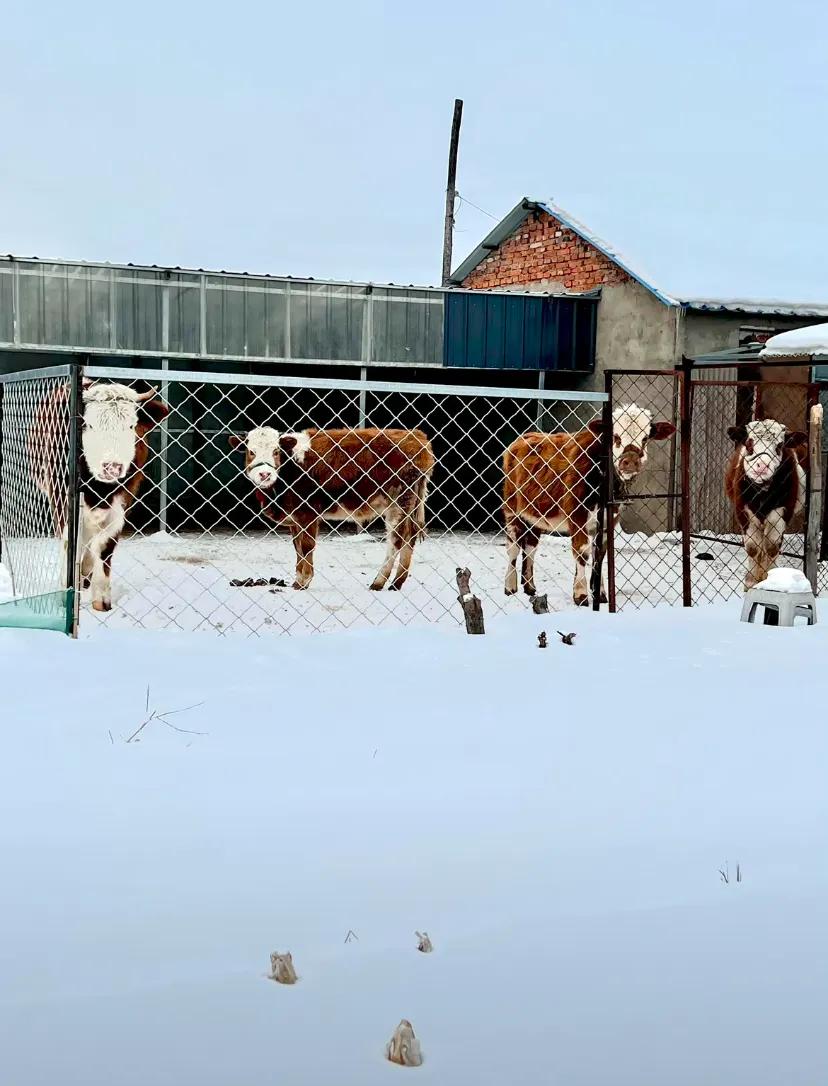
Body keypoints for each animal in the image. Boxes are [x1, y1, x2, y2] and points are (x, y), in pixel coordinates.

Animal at [31, 382, 168, 612]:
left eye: (131, 426)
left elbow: (103, 547)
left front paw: (101, 599)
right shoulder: (62, 500)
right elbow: (70, 543)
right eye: (89, 425)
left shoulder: (121, 504)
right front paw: (67, 591)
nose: (112, 467)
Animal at [226, 425, 432, 595]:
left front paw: (304, 580)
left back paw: (379, 581)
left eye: (276, 451)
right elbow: (297, 547)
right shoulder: (295, 518)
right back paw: (397, 582)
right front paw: (297, 580)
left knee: (396, 540)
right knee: (409, 537)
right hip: (408, 504)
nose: (265, 474)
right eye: (251, 451)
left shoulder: (307, 513)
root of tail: (416, 437)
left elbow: (306, 546)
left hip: (399, 501)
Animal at [504, 403, 669, 608]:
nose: (630, 461)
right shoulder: (577, 515)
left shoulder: (608, 520)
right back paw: (510, 587)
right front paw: (581, 594)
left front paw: (600, 593)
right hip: (512, 509)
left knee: (531, 546)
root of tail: (525, 437)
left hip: (535, 514)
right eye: (615, 436)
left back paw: (529, 587)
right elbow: (582, 552)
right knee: (513, 545)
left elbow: (600, 554)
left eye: (645, 438)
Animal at [725, 414, 804, 590]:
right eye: (749, 443)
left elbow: (772, 547)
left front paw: (769, 579)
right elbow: (753, 548)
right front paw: (750, 583)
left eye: (779, 445)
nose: (762, 466)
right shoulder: (743, 513)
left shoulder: (782, 513)